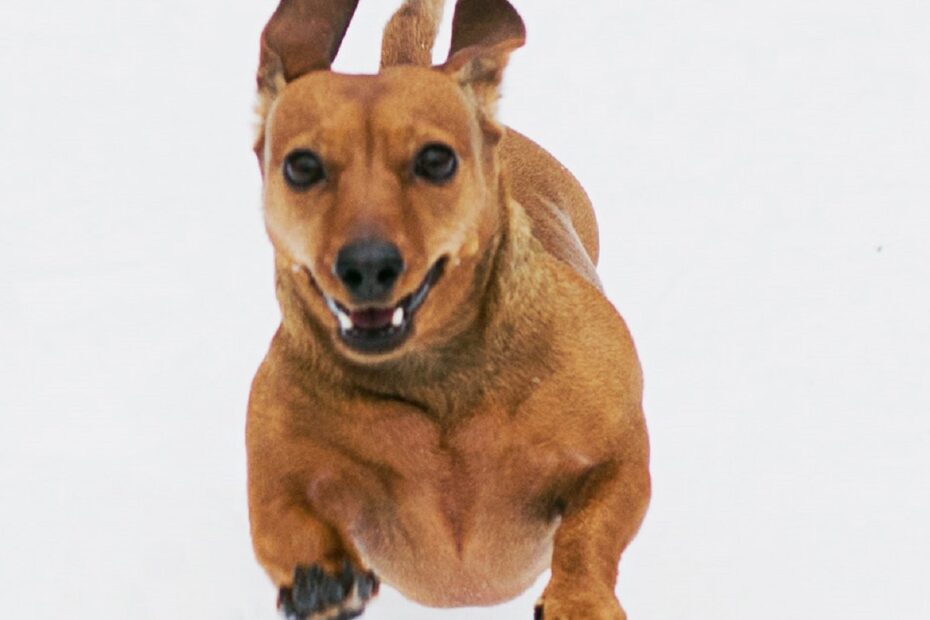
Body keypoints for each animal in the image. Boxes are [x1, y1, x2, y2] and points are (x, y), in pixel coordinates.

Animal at [246, 2, 648, 616]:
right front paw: (321, 581)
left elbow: (590, 531)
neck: (435, 384)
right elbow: (279, 521)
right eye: (302, 166)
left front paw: (579, 598)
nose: (367, 265)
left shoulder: (620, 457)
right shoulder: (272, 477)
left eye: (435, 160)